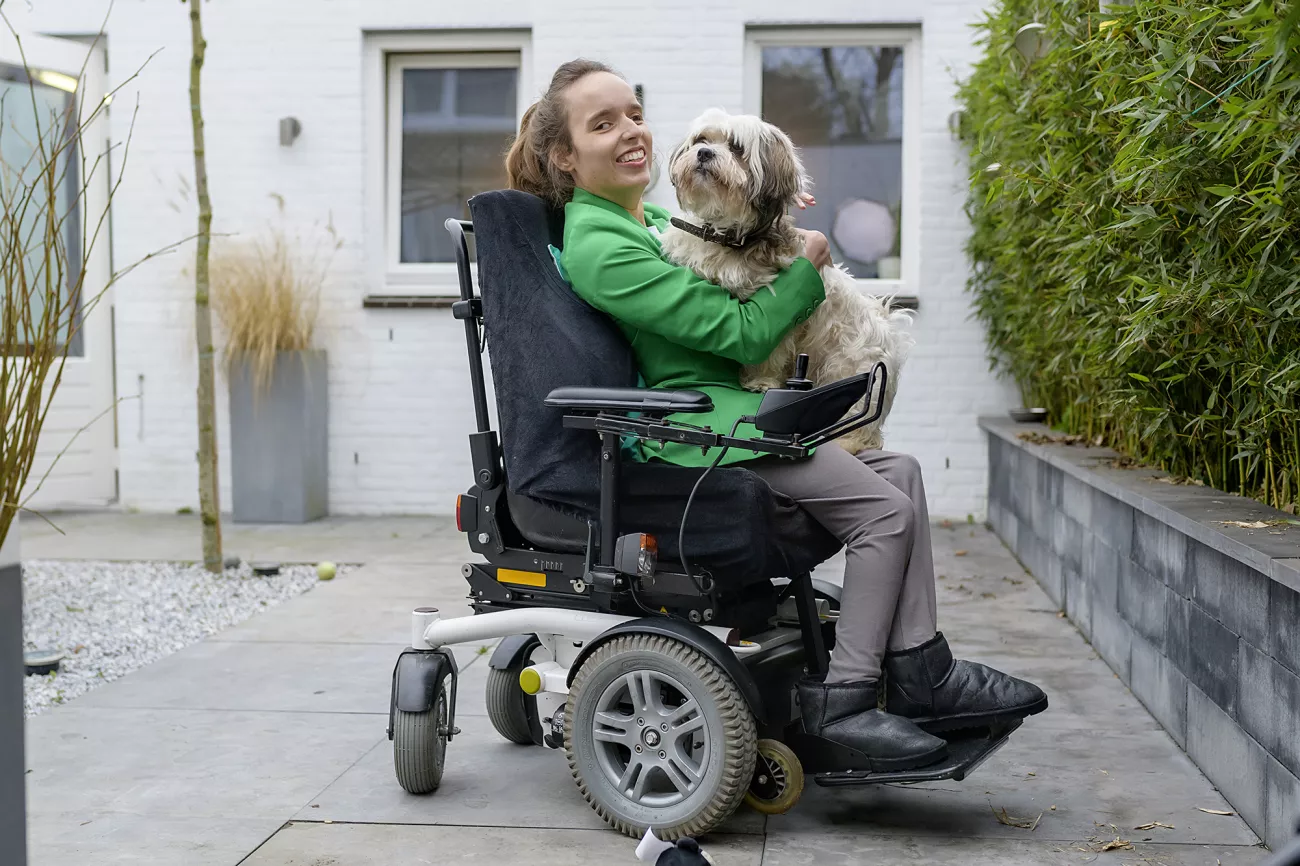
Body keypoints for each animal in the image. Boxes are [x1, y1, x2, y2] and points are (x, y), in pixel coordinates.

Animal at [660, 107, 915, 452]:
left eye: (736, 148)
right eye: (701, 139)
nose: (703, 153)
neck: (726, 238)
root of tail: (888, 330)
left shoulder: (777, 318)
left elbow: (770, 352)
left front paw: (760, 382)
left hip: (849, 373)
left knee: (862, 428)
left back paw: (846, 441)